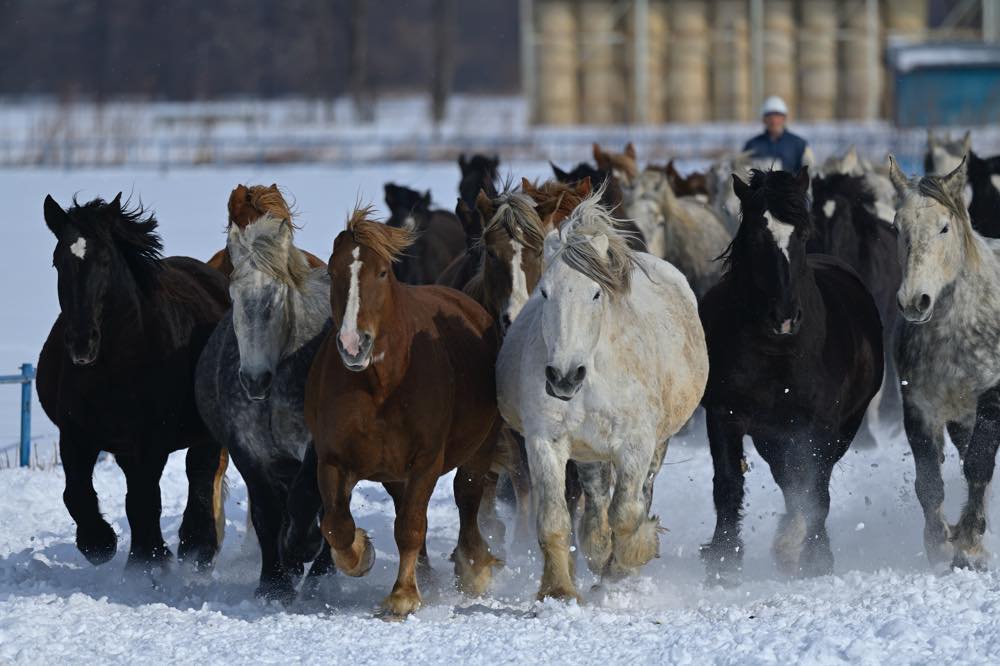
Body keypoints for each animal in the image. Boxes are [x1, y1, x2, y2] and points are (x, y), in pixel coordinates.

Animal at [298, 209, 500, 616]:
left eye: (381, 272)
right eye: (332, 272)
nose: (353, 344)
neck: (382, 385)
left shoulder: (426, 459)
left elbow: (411, 525)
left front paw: (403, 594)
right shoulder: (332, 459)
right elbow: (337, 526)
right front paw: (361, 553)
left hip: (480, 447)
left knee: (467, 496)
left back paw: (473, 568)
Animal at [496, 191, 708, 596]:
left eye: (596, 293)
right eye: (544, 291)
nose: (563, 377)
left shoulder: (637, 443)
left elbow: (627, 513)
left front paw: (629, 561)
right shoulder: (545, 441)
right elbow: (554, 520)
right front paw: (559, 590)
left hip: (657, 443)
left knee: (641, 494)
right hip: (589, 449)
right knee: (595, 502)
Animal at [700, 170, 880, 580]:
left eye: (802, 232)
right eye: (756, 234)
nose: (784, 317)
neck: (778, 350)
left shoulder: (821, 426)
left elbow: (816, 488)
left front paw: (815, 559)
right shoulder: (724, 415)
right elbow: (728, 484)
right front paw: (723, 563)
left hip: (841, 427)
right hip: (772, 435)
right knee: (787, 478)